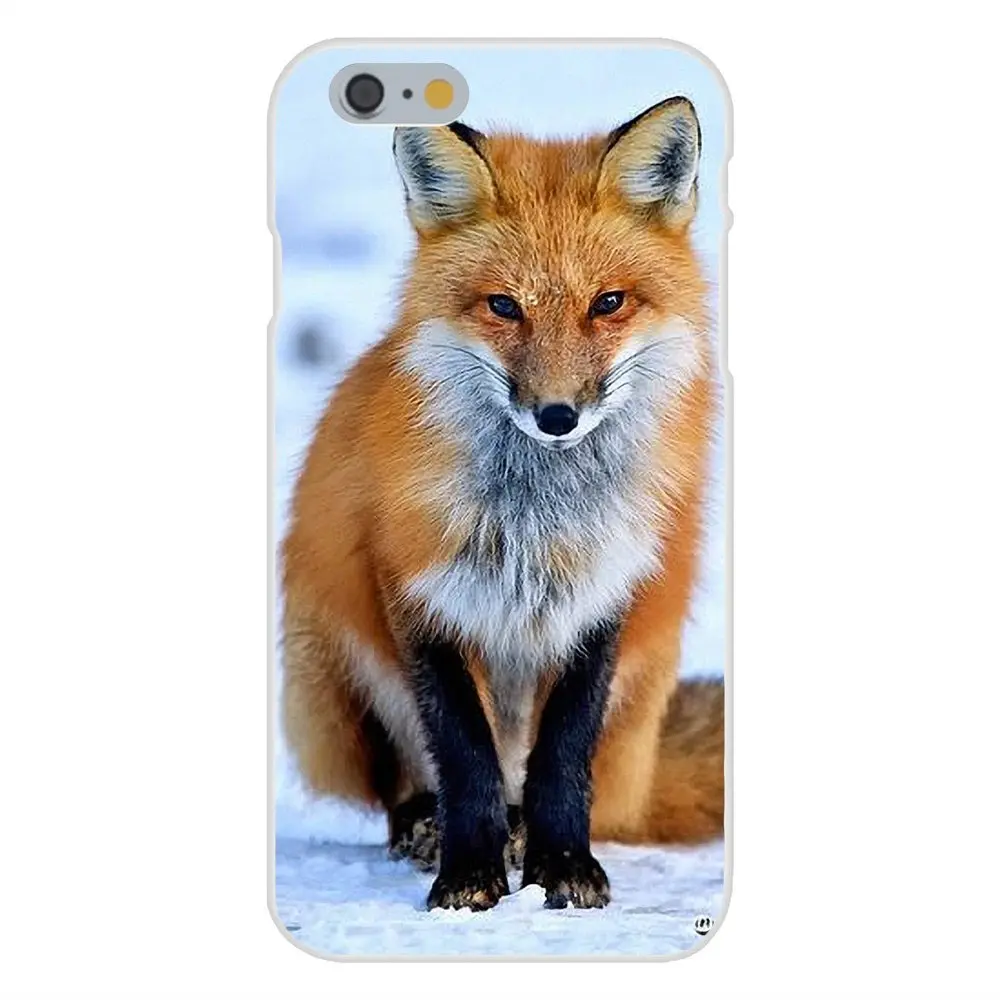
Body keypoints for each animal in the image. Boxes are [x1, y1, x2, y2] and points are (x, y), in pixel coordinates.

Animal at [280, 95, 724, 912]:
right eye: (503, 307)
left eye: (607, 303)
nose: (556, 415)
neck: (537, 522)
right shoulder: (421, 595)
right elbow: (464, 755)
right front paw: (469, 873)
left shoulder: (604, 596)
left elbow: (562, 755)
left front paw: (564, 865)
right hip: (324, 662)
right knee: (403, 784)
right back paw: (424, 827)